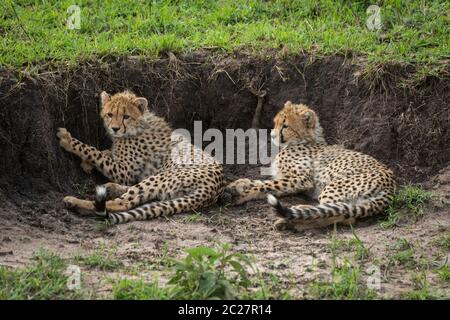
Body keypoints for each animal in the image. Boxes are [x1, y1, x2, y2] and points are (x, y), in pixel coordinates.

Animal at [57, 90, 224, 224]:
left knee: (120, 204)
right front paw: (86, 164)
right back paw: (111, 188)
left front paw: (68, 140)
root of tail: (215, 187)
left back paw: (75, 202)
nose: (115, 128)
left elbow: (94, 152)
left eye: (126, 116)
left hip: (161, 177)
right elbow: (106, 151)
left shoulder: (123, 172)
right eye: (110, 114)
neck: (138, 126)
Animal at [225, 101, 394, 231]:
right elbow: (260, 182)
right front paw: (235, 185)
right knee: (341, 213)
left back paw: (291, 218)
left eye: (285, 126)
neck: (303, 141)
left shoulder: (301, 179)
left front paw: (241, 195)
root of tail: (391, 184)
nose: (272, 136)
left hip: (333, 186)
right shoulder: (285, 177)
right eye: (275, 122)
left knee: (338, 215)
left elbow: (263, 185)